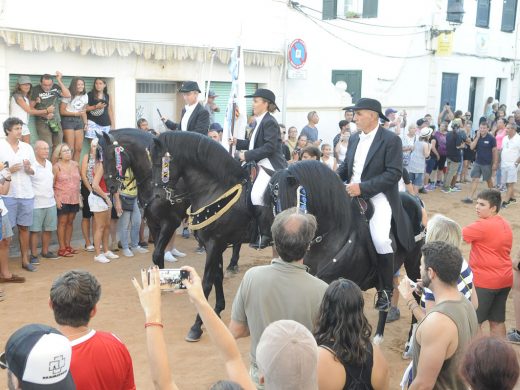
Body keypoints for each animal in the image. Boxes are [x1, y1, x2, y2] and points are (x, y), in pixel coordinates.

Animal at [150, 131, 254, 342]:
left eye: (160, 164)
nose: (157, 197)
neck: (216, 190)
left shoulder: (214, 244)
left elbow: (206, 283)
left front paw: (197, 326)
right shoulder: (216, 244)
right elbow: (217, 277)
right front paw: (217, 310)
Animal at [264, 158, 422, 342]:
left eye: (287, 198)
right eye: (272, 199)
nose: (278, 242)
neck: (332, 233)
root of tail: (415, 199)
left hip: (413, 262)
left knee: (415, 294)